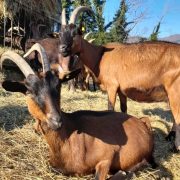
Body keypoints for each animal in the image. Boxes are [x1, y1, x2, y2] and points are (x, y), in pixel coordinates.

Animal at [0, 48, 155, 180]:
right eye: (29, 91)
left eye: (58, 85)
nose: (56, 121)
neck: (68, 136)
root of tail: (142, 122)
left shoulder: (107, 156)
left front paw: (121, 172)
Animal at [58, 5, 180, 150]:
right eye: (60, 33)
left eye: (75, 33)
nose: (62, 48)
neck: (100, 56)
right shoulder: (122, 90)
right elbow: (123, 109)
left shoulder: (112, 86)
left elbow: (110, 108)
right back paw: (169, 137)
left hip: (175, 91)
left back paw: (175, 147)